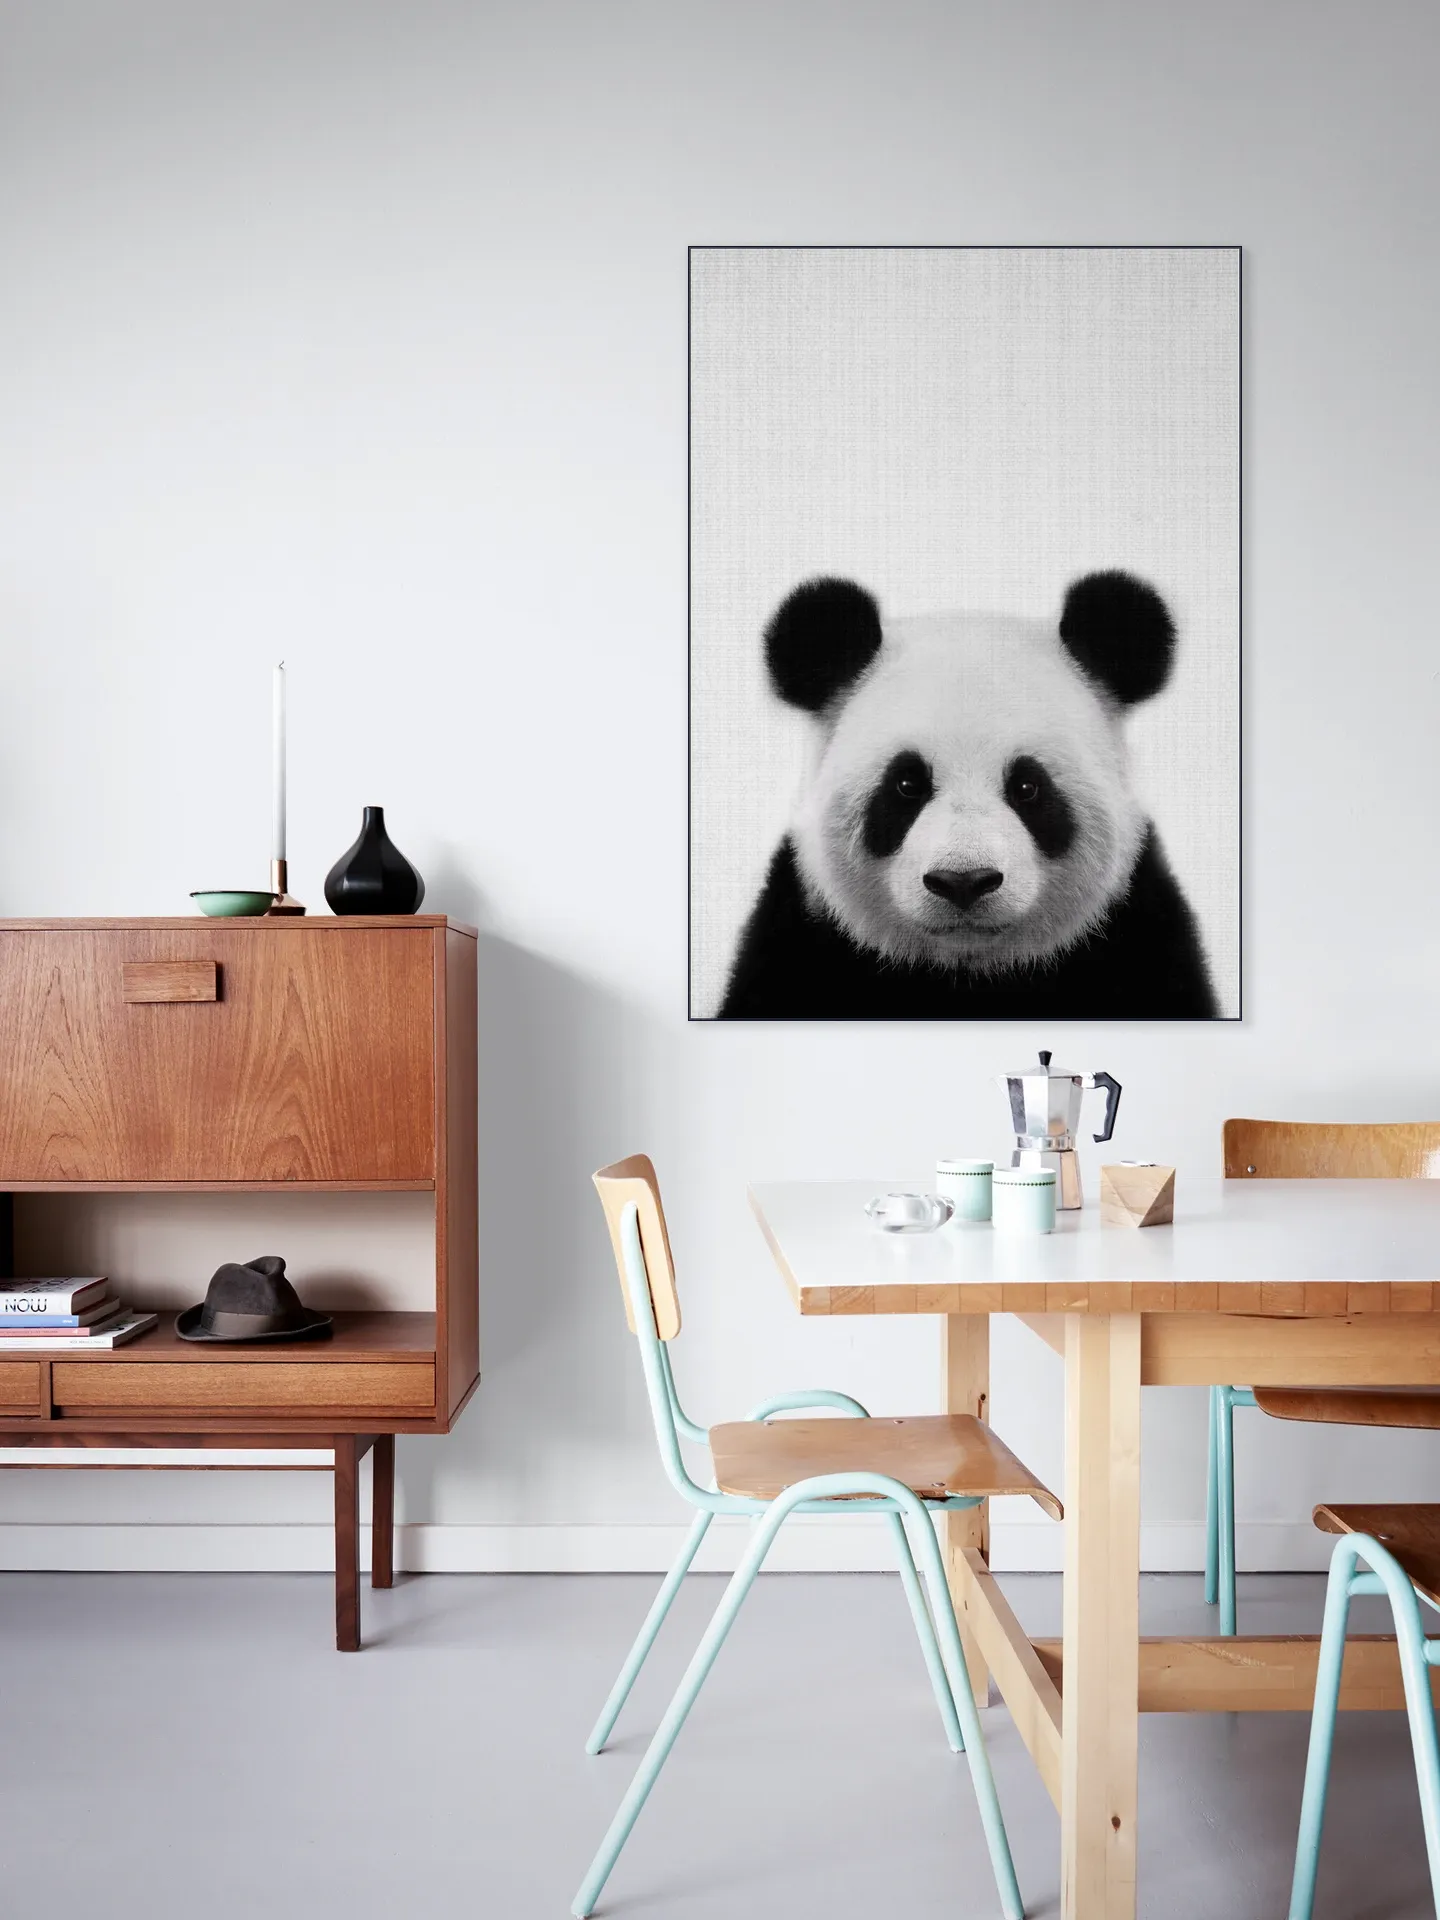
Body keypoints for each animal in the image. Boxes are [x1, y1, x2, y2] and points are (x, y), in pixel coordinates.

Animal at [718, 570, 1218, 1020]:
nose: (964, 881)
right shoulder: (798, 942)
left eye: (1027, 787)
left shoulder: (1140, 935)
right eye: (906, 785)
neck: (967, 973)